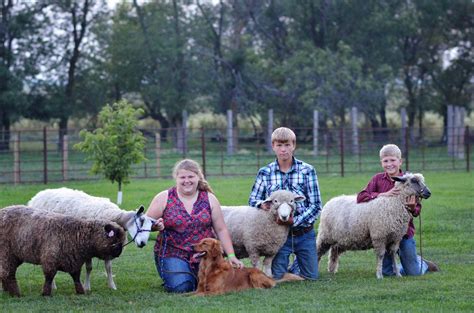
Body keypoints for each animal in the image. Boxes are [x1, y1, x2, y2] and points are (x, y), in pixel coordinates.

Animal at [27, 186, 156, 288]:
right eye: (141, 221)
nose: (143, 243)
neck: (112, 217)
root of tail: (36, 196)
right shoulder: (88, 245)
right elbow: (89, 268)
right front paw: (87, 287)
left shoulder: (108, 246)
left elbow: (108, 267)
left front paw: (112, 286)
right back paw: (53, 286)